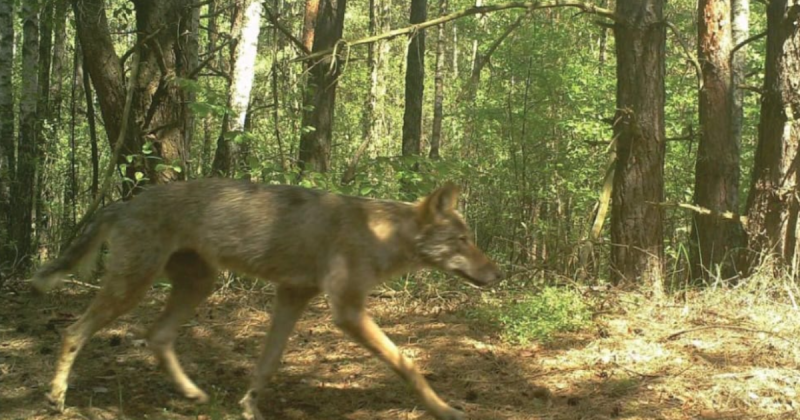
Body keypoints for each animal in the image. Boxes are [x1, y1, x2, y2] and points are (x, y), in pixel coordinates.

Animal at [32, 178, 506, 420]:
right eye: (463, 240)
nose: (499, 273)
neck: (381, 235)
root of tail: (126, 202)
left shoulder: (292, 295)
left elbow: (268, 362)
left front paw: (248, 407)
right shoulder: (347, 311)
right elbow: (408, 363)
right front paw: (445, 409)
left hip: (196, 285)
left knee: (158, 336)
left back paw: (194, 395)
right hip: (132, 287)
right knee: (74, 331)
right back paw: (55, 398)